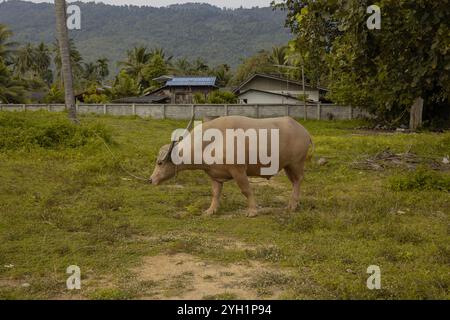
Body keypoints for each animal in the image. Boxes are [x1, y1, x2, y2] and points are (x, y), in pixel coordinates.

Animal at [150, 115, 312, 218]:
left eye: (160, 163)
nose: (150, 180)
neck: (211, 143)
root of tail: (304, 131)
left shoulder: (238, 171)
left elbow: (246, 190)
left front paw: (252, 211)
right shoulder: (215, 175)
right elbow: (215, 193)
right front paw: (210, 211)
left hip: (296, 163)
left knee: (298, 180)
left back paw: (293, 206)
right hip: (288, 166)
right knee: (294, 182)